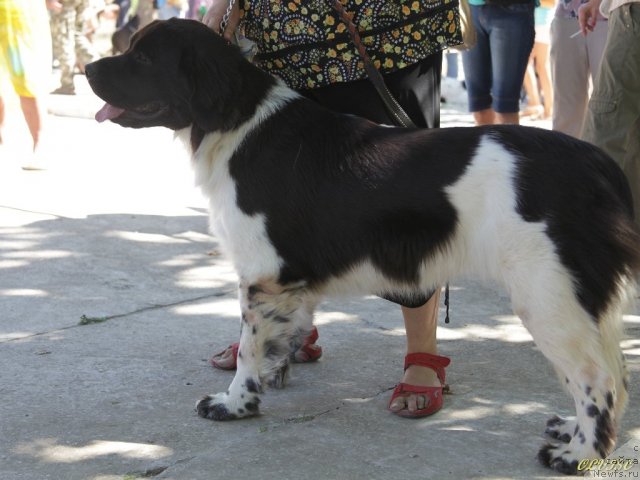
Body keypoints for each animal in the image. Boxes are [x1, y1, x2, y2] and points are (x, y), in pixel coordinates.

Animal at [86, 17, 640, 472]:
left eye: (142, 58)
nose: (88, 67)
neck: (238, 125)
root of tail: (598, 164)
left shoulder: (262, 274)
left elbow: (247, 351)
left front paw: (234, 404)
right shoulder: (287, 281)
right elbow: (280, 337)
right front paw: (276, 372)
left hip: (549, 295)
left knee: (598, 379)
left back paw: (577, 454)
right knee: (611, 372)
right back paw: (569, 431)